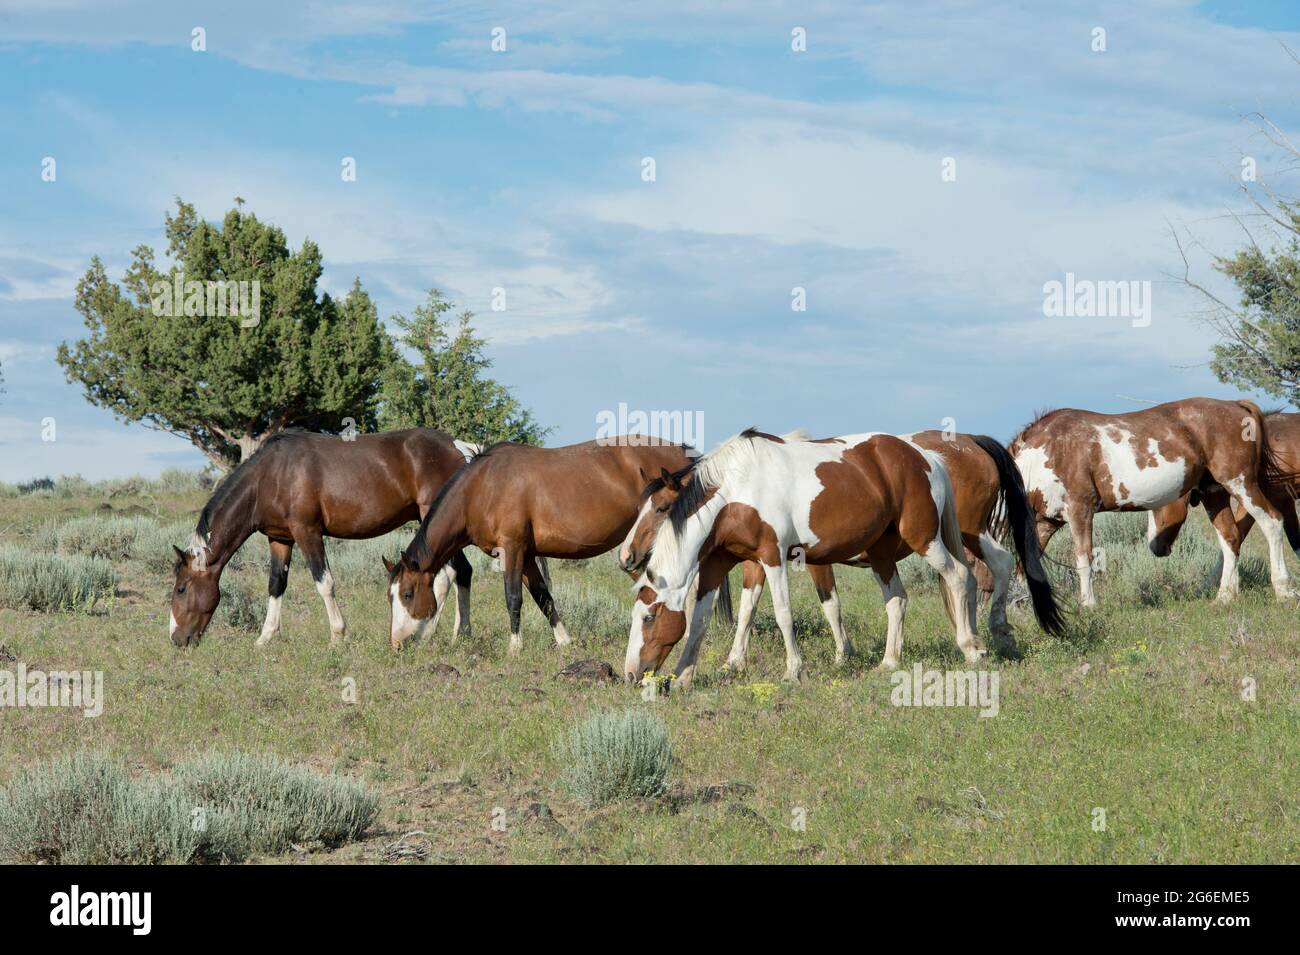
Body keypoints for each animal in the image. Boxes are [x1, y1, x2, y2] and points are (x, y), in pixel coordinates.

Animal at [170, 431, 480, 649]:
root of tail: (458, 447)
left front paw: (338, 636)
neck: (270, 475)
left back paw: (428, 632)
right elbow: (276, 584)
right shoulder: (280, 539)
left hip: (434, 518)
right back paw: (461, 634)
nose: (176, 639)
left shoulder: (307, 532)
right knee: (463, 571)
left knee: (446, 575)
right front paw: (265, 637)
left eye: (181, 589)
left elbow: (324, 583)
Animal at [382, 436, 702, 654]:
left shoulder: (511, 550)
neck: (482, 487)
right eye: (390, 596)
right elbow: (543, 597)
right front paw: (565, 641)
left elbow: (513, 598)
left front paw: (515, 647)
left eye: (408, 594)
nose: (396, 643)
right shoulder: (526, 556)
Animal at [621, 428, 1066, 686]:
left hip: (928, 538)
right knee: (904, 598)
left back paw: (973, 645)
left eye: (648, 618)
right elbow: (702, 619)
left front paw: (795, 669)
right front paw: (685, 674)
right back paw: (893, 660)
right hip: (891, 551)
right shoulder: (720, 563)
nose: (630, 674)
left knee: (962, 576)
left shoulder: (773, 556)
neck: (735, 490)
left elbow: (785, 613)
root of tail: (928, 458)